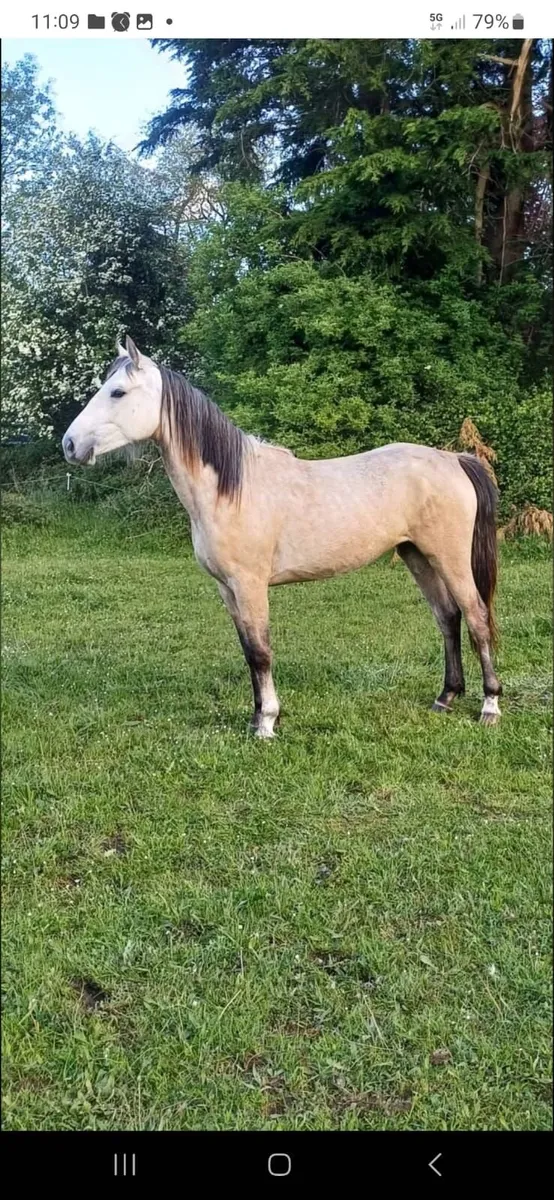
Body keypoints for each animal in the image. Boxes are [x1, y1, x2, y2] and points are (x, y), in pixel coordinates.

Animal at [62, 335, 502, 737]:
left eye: (118, 392)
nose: (70, 444)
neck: (230, 489)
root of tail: (454, 459)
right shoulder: (227, 589)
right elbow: (248, 653)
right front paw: (256, 716)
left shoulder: (251, 585)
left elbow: (261, 653)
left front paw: (267, 724)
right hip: (416, 555)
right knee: (447, 617)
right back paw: (445, 697)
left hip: (449, 558)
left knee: (476, 616)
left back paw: (490, 706)